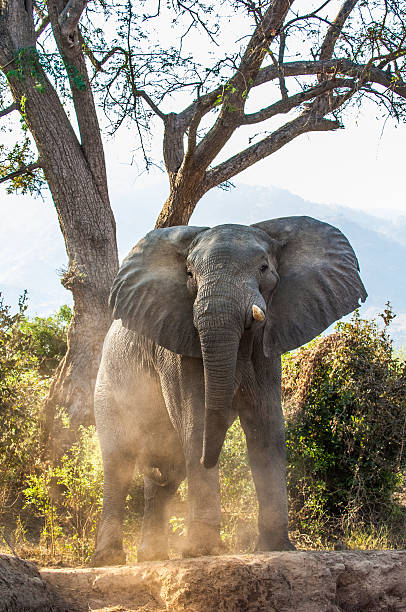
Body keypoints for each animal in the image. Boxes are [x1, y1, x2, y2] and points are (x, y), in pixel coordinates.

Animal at [90, 214, 366, 564]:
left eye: (263, 268)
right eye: (190, 274)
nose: (210, 460)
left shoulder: (267, 350)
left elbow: (266, 427)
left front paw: (277, 547)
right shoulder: (177, 347)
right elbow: (195, 421)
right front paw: (203, 551)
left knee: (167, 471)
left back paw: (152, 557)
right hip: (109, 384)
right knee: (120, 461)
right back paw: (110, 558)